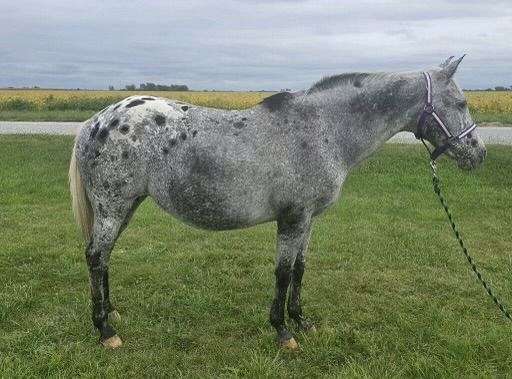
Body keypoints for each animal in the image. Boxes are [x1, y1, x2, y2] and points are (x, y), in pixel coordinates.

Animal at [68, 56, 484, 350]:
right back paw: (105, 329)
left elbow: (300, 269)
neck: (322, 129)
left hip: (127, 206)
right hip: (113, 206)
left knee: (104, 258)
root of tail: (97, 120)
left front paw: (302, 321)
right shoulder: (293, 218)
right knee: (96, 256)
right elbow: (283, 273)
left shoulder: (308, 219)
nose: (477, 154)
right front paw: (283, 332)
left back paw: (112, 312)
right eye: (460, 102)